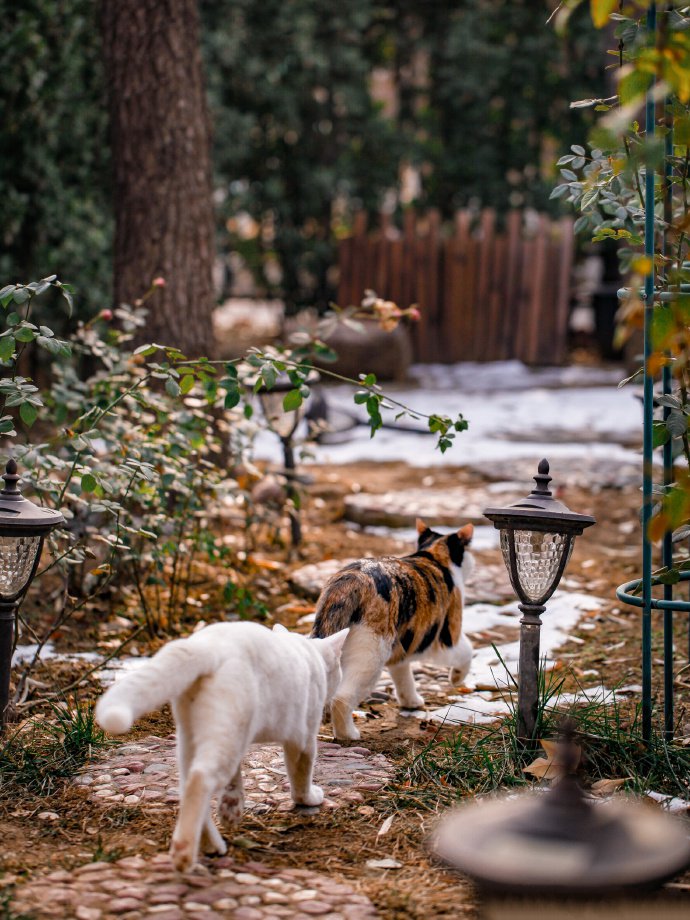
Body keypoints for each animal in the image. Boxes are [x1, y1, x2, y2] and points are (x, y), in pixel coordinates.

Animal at [94, 620, 346, 868]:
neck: (309, 653)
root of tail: (207, 645)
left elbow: (235, 780)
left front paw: (232, 809)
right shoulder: (303, 737)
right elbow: (301, 775)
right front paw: (308, 799)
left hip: (200, 737)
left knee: (189, 784)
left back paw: (211, 844)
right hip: (226, 731)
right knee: (200, 780)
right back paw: (184, 853)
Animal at [312, 516, 472, 740]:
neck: (433, 556)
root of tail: (352, 578)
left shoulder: (403, 646)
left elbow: (403, 676)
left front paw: (410, 702)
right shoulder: (445, 637)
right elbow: (467, 651)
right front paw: (456, 678)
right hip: (372, 655)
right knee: (342, 697)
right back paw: (349, 735)